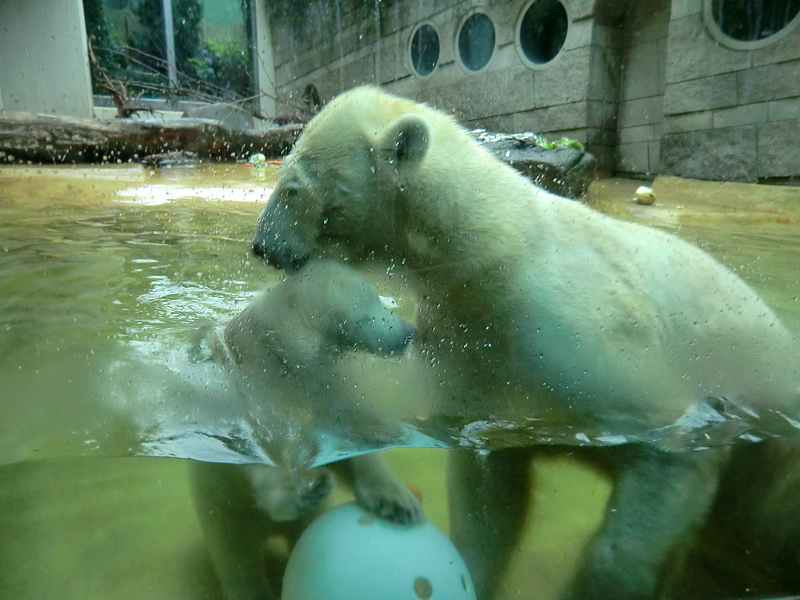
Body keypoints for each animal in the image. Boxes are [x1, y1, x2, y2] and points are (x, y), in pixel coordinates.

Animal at [188, 262, 424, 600]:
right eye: (374, 295)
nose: (409, 331)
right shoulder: (243, 404)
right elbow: (261, 461)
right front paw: (301, 488)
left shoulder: (327, 393)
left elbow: (353, 443)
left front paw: (398, 502)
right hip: (221, 512)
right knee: (237, 561)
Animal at [250, 85, 800, 600]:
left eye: (291, 186)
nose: (262, 246)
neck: (493, 257)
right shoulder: (470, 350)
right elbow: (489, 493)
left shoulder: (585, 336)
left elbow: (667, 447)